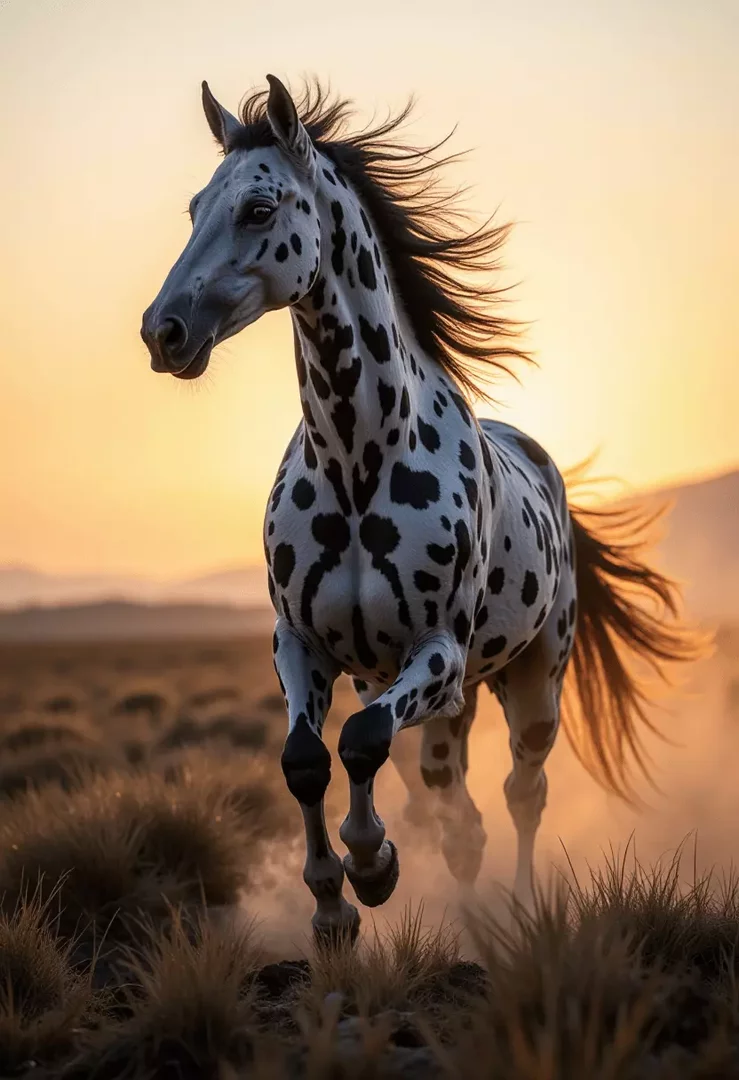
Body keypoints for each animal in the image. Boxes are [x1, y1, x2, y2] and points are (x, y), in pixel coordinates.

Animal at [141, 75, 696, 944]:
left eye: (259, 209)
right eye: (195, 207)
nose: (163, 332)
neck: (357, 462)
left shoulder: (437, 654)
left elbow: (362, 743)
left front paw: (371, 865)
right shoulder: (302, 646)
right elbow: (307, 760)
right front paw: (332, 905)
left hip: (527, 684)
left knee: (518, 796)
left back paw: (518, 908)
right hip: (439, 701)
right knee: (453, 808)